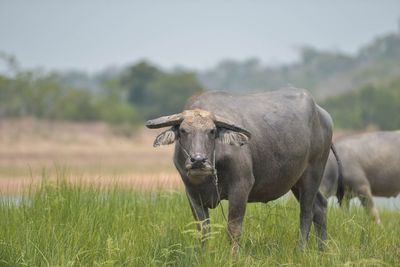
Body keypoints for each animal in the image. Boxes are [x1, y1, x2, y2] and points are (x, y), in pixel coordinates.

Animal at [146, 89, 334, 252]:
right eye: (183, 130)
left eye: (212, 131)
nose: (198, 160)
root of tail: (322, 115)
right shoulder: (192, 193)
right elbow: (203, 230)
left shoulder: (240, 186)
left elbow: (233, 230)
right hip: (296, 181)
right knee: (320, 206)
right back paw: (322, 250)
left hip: (313, 173)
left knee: (306, 212)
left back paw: (301, 250)